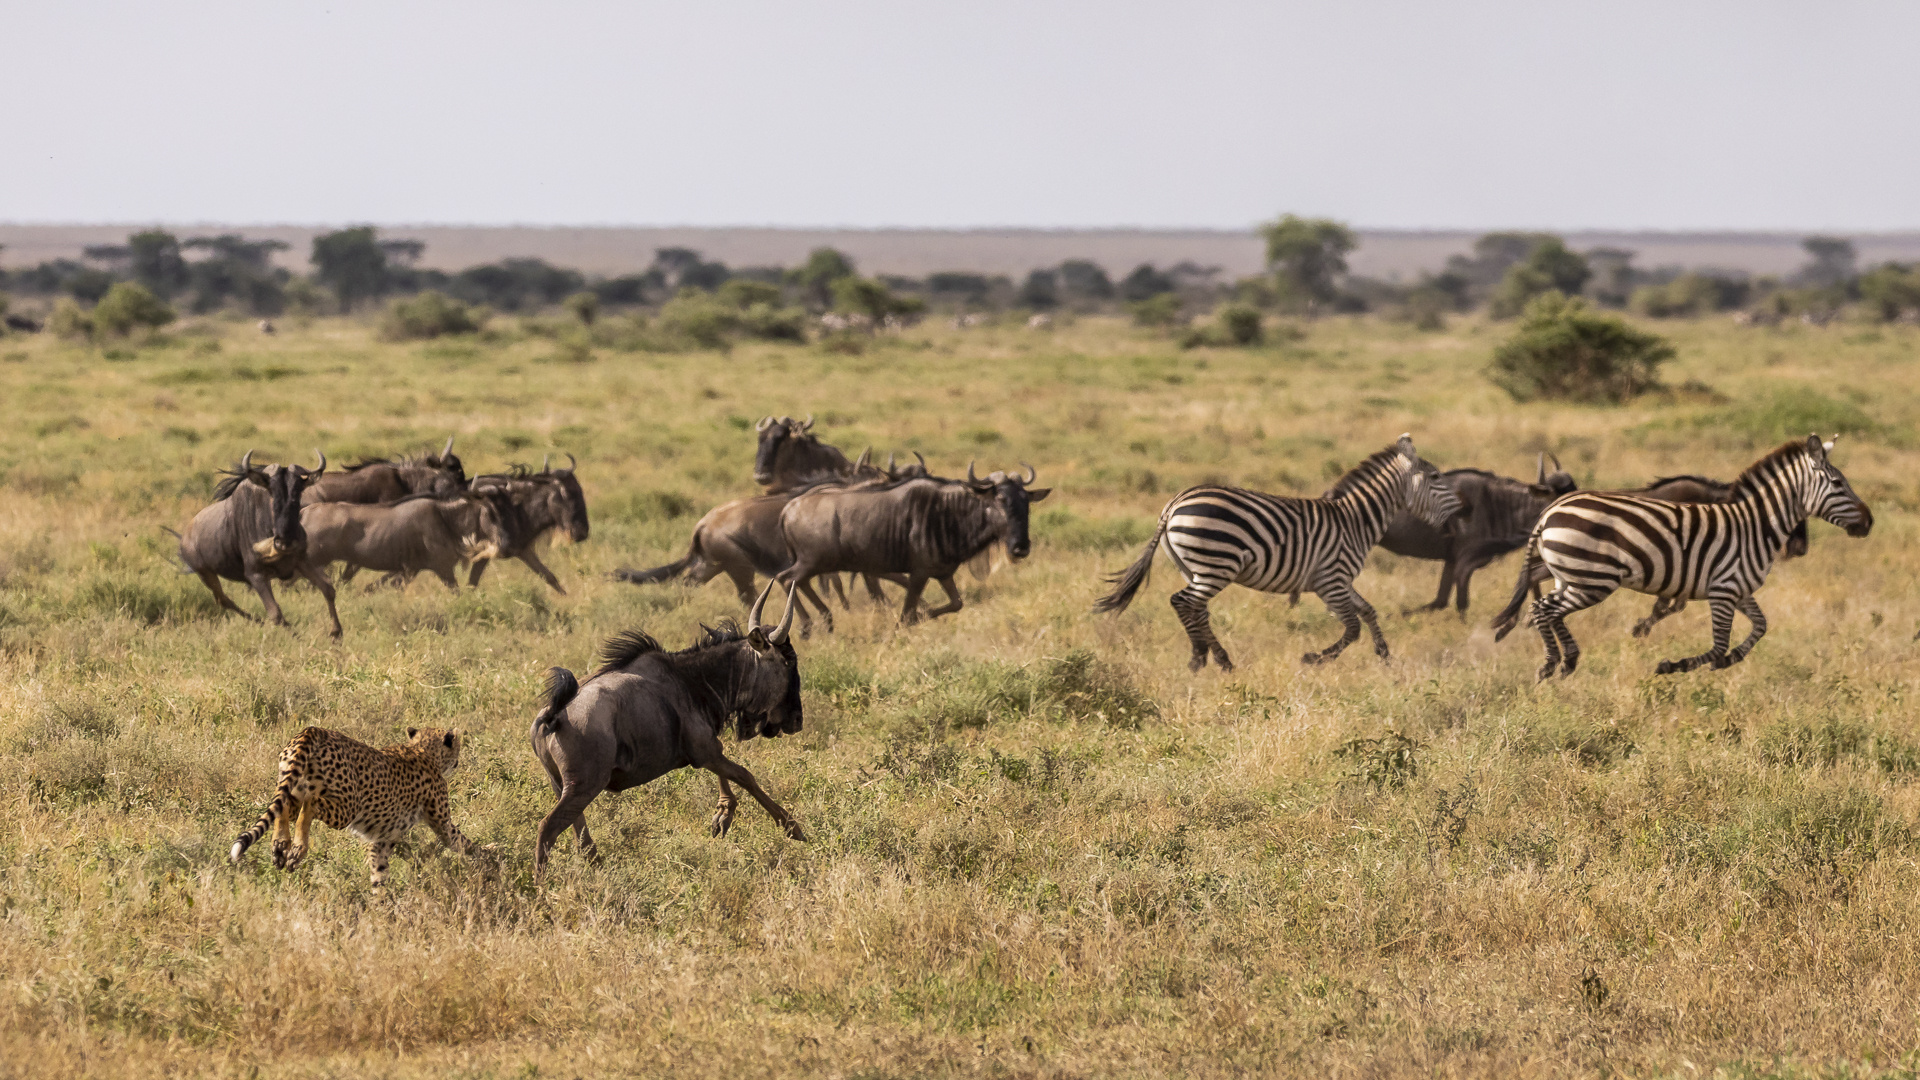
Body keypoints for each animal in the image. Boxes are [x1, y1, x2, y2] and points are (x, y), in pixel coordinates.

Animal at [230, 722, 480, 883]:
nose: (458, 762)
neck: (422, 749)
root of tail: (315, 729)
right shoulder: (441, 821)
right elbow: (461, 841)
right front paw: (486, 854)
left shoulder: (382, 840)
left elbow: (379, 871)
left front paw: (381, 907)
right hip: (348, 806)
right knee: (311, 804)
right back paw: (298, 850)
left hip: (291, 788)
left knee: (285, 808)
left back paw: (281, 846)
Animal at [1098, 432, 1451, 668]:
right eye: (1435, 476)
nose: (1457, 514)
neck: (1355, 519)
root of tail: (1173, 503)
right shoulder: (1332, 580)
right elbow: (1352, 628)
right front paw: (1315, 658)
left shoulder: (1339, 581)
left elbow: (1368, 612)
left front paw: (1385, 656)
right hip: (1216, 564)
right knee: (1183, 602)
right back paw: (1200, 657)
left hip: (1194, 567)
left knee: (1197, 609)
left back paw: (1221, 659)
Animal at [1489, 434, 1866, 672]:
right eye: (1838, 485)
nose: (1869, 522)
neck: (1751, 524)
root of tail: (1551, 511)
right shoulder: (1721, 588)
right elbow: (1716, 641)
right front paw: (1675, 663)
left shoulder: (1735, 588)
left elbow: (1760, 626)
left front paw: (1730, 659)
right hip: (1592, 580)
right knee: (1543, 606)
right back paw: (1552, 659)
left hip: (1573, 576)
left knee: (1544, 602)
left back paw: (1560, 654)